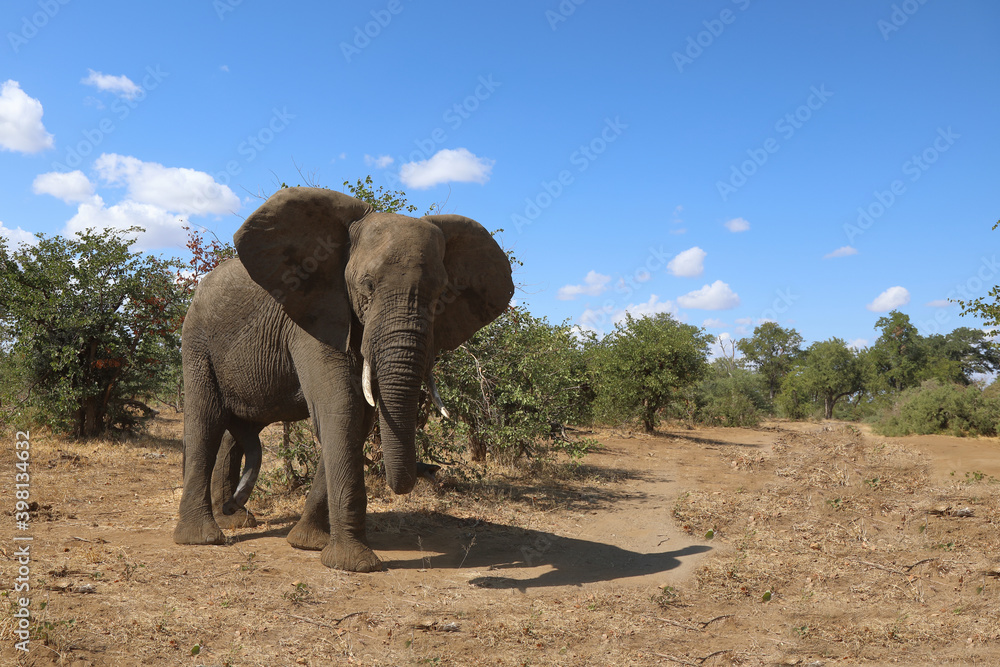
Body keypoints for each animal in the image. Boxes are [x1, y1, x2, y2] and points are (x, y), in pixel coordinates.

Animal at [173, 187, 514, 572]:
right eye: (368, 285)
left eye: (443, 293)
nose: (428, 470)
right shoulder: (314, 314)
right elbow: (343, 408)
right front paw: (356, 564)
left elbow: (358, 420)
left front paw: (309, 545)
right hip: (197, 339)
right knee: (206, 420)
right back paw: (203, 537)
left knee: (240, 428)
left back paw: (234, 518)